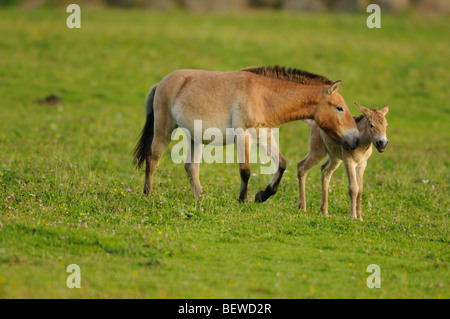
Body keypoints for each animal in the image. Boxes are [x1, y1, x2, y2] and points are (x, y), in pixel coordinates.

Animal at [133, 66, 358, 204]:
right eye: (339, 108)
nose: (355, 138)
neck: (264, 98)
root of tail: (161, 83)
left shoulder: (265, 137)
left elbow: (282, 163)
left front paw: (262, 195)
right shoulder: (244, 136)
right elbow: (245, 171)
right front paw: (243, 199)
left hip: (196, 138)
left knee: (191, 168)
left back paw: (201, 199)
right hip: (164, 130)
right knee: (152, 160)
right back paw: (148, 195)